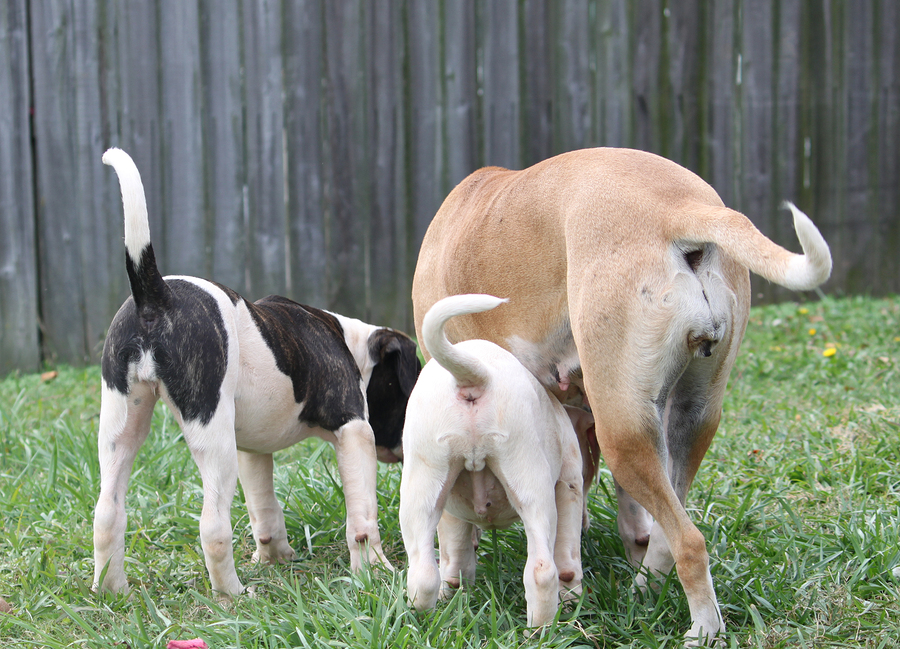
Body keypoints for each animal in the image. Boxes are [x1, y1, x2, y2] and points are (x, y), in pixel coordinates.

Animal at [96, 149, 422, 596]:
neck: (354, 345)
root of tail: (155, 292)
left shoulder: (252, 451)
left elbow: (264, 509)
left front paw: (274, 558)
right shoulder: (355, 430)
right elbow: (361, 518)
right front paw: (374, 571)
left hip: (121, 424)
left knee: (107, 511)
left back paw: (112, 592)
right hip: (211, 435)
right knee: (213, 526)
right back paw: (232, 595)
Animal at [400, 296, 596, 624]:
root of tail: (475, 374)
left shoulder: (450, 511)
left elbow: (456, 556)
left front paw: (456, 592)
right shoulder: (568, 485)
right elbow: (568, 559)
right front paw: (572, 601)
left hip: (423, 489)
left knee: (424, 574)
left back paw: (426, 621)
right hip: (532, 483)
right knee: (543, 570)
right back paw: (543, 628)